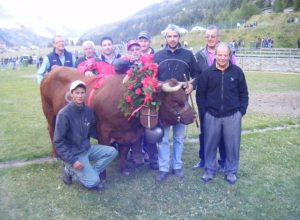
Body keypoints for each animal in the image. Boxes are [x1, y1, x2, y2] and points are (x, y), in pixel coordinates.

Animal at [39, 66, 196, 174]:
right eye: (175, 102)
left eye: (185, 97)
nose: (194, 116)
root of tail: (53, 70)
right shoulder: (103, 132)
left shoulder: (126, 134)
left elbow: (124, 152)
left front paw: (124, 169)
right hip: (49, 112)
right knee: (51, 130)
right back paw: (55, 155)